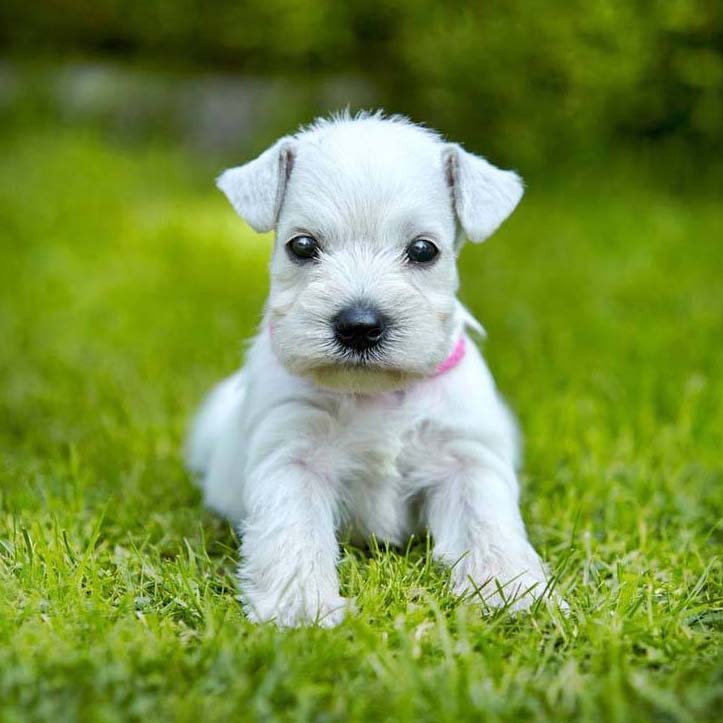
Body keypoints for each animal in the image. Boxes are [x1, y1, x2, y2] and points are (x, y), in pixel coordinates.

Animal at [187, 113, 556, 628]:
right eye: (302, 245)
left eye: (424, 249)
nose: (359, 326)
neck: (377, 391)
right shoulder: (293, 458)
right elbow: (294, 534)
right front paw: (302, 607)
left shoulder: (465, 459)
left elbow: (489, 523)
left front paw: (514, 591)